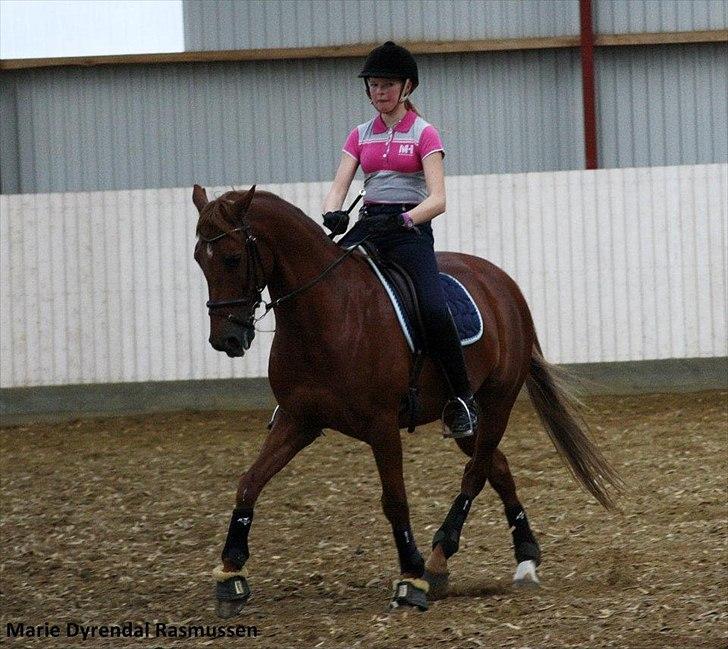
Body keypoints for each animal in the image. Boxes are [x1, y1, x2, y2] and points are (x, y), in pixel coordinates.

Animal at [191, 181, 624, 612]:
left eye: (231, 258)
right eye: (199, 259)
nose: (226, 340)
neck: (329, 313)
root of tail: (502, 283)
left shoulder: (381, 426)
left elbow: (395, 499)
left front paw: (411, 578)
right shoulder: (299, 420)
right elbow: (249, 482)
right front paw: (230, 575)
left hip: (497, 402)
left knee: (476, 473)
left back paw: (438, 561)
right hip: (465, 419)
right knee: (496, 466)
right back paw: (525, 558)